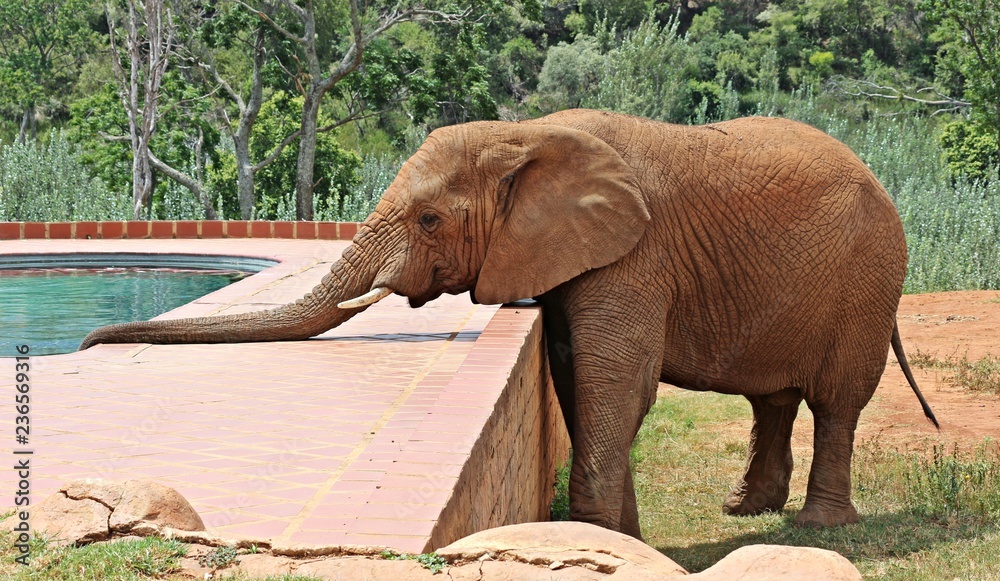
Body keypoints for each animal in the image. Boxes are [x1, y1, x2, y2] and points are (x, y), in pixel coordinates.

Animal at [81, 108, 938, 537]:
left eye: (429, 219)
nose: (88, 343)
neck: (526, 133)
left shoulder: (635, 251)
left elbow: (614, 381)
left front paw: (600, 539)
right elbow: (575, 373)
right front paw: (618, 538)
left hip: (868, 277)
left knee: (837, 400)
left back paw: (821, 525)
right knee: (773, 397)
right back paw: (744, 511)